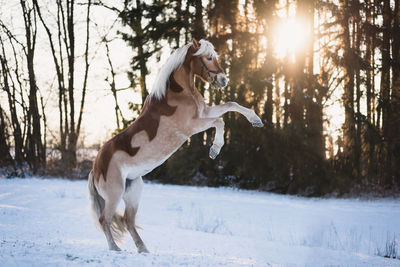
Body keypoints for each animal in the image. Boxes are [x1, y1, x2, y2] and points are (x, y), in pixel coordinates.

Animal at [88, 38, 264, 253]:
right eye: (208, 57)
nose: (223, 80)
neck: (178, 94)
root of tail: (95, 168)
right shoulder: (192, 126)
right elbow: (220, 122)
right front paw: (214, 150)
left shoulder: (204, 113)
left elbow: (231, 105)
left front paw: (256, 120)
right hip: (114, 194)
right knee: (104, 219)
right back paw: (115, 249)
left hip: (133, 191)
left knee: (128, 221)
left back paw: (143, 249)